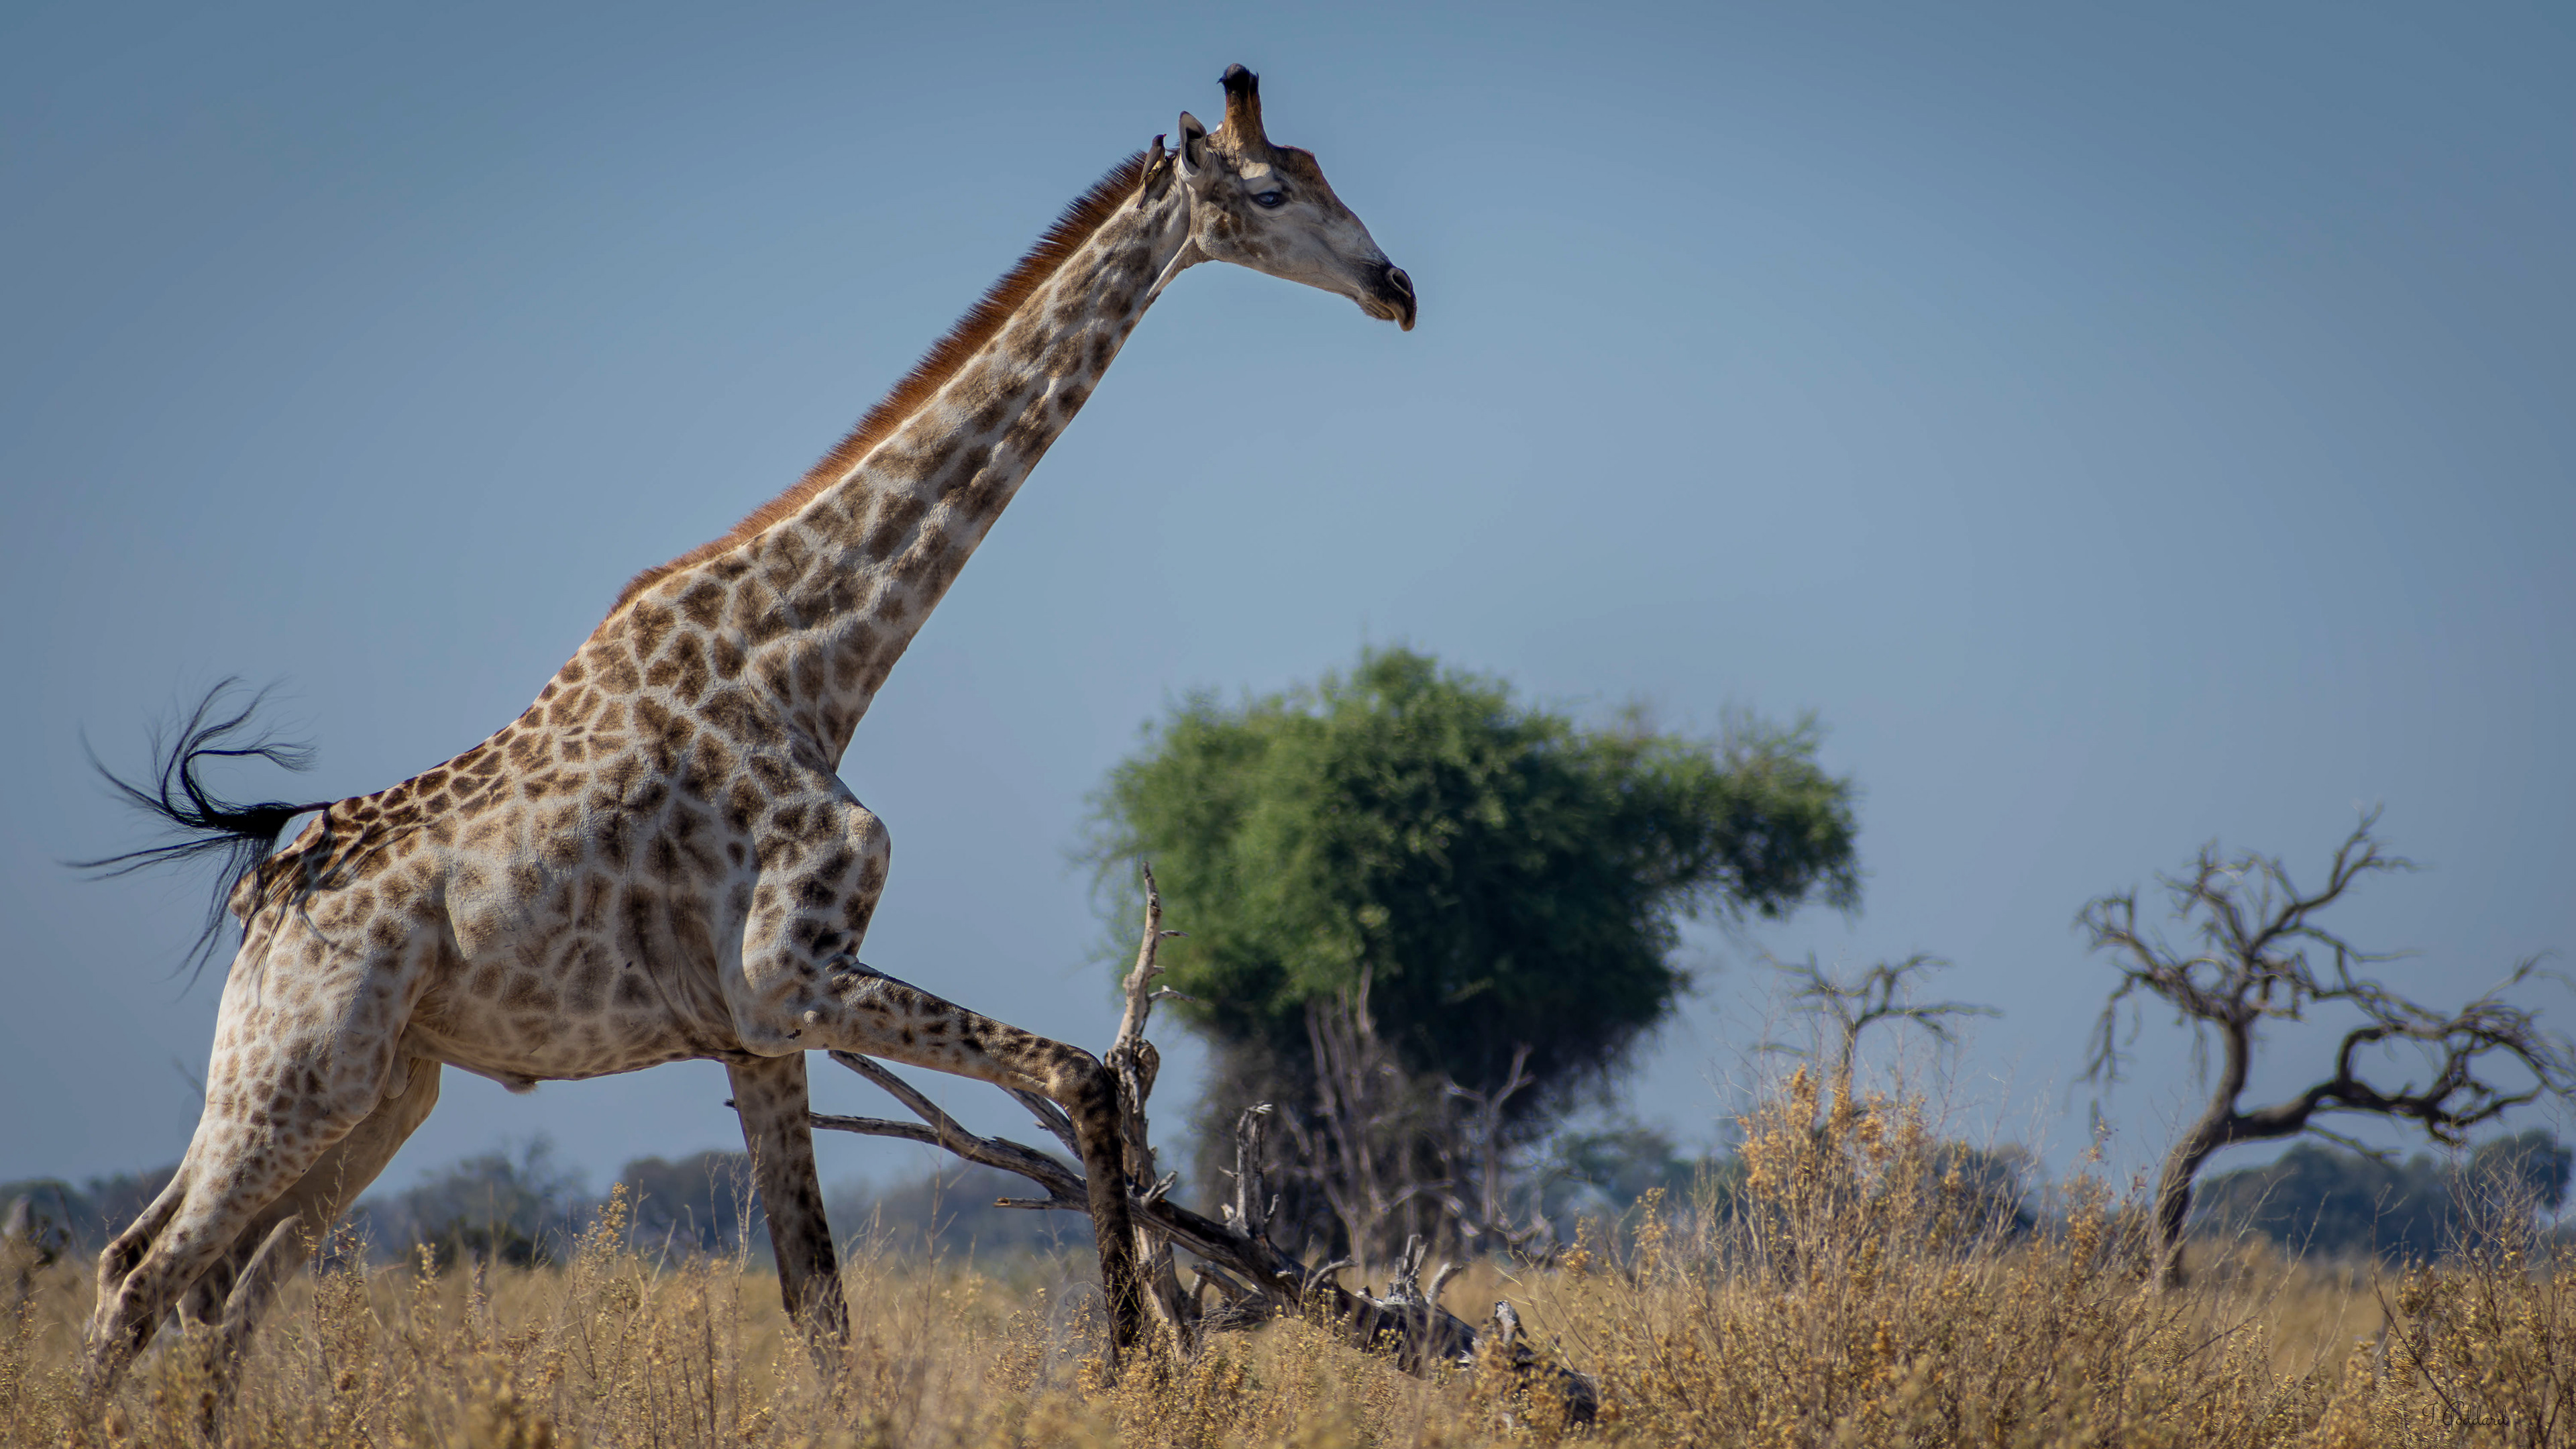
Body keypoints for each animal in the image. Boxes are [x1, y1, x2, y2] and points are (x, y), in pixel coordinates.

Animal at [80, 64, 1413, 1403]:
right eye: (1270, 189)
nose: (1395, 286)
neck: (809, 668)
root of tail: (262, 893)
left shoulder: (757, 1033)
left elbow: (822, 1306)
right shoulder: (793, 974)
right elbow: (1077, 1070)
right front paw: (1134, 1370)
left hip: (386, 1090)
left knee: (223, 1299)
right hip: (294, 1077)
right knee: (137, 1273)